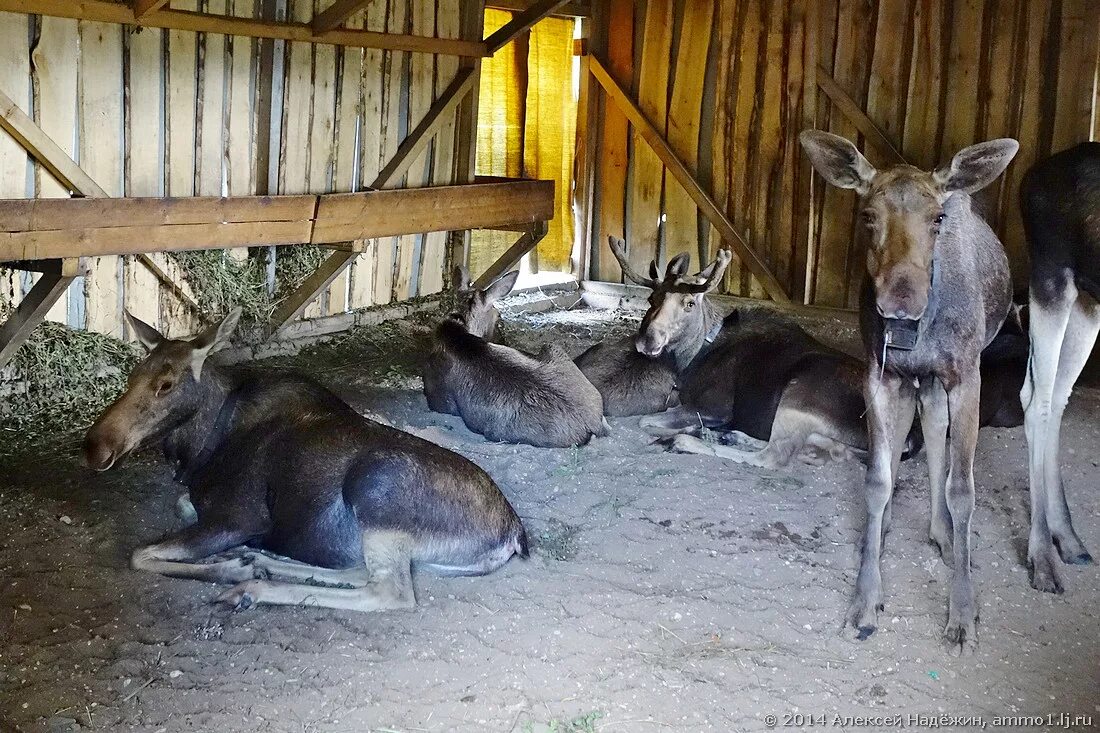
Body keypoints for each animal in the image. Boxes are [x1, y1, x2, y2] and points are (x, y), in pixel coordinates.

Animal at [84, 308, 523, 611]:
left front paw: (231, 569)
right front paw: (241, 559)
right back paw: (259, 560)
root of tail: (513, 534)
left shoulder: (240, 517)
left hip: (376, 492)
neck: (199, 448)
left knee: (389, 591)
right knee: (356, 569)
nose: (95, 446)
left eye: (166, 384)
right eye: (131, 376)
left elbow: (140, 555)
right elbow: (181, 509)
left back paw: (251, 584)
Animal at [800, 129, 1020, 651]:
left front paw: (963, 614)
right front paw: (864, 602)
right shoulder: (879, 374)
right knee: (918, 430)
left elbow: (963, 489)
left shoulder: (966, 373)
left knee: (936, 430)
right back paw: (886, 532)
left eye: (936, 218)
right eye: (867, 215)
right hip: (913, 380)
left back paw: (943, 533)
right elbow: (877, 479)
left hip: (943, 378)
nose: (901, 298)